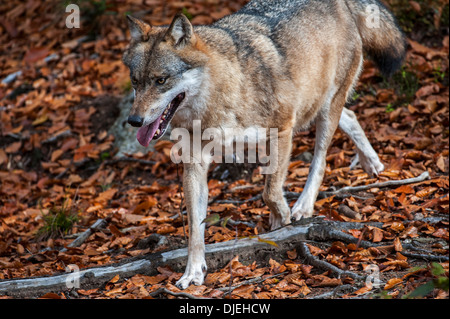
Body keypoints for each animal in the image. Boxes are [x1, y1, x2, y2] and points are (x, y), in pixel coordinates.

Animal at [121, 0, 406, 290]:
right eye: (135, 81)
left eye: (161, 80)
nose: (134, 120)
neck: (223, 93)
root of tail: (340, 3)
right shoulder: (196, 164)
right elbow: (195, 229)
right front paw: (193, 272)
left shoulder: (282, 131)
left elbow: (269, 192)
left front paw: (282, 221)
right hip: (315, 109)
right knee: (351, 116)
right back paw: (372, 163)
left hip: (322, 112)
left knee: (321, 160)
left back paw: (304, 206)